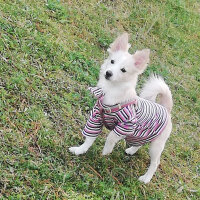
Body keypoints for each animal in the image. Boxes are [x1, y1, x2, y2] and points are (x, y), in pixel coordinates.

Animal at [69, 33, 173, 184]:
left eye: (123, 70)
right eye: (112, 61)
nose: (108, 73)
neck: (111, 92)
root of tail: (166, 108)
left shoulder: (126, 125)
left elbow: (111, 137)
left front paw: (105, 151)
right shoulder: (96, 118)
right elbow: (89, 138)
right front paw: (80, 150)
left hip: (156, 145)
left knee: (155, 162)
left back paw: (146, 178)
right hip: (141, 134)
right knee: (140, 143)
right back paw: (131, 150)